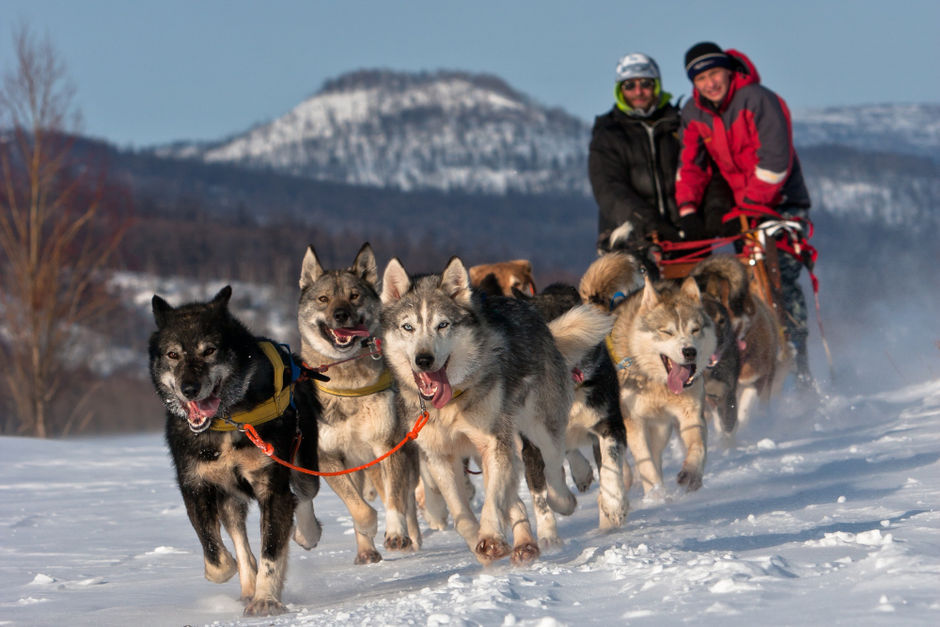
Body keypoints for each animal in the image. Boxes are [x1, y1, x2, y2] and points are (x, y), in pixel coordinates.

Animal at [149, 288, 322, 620]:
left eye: (209, 350)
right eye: (173, 355)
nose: (189, 388)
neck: (225, 422)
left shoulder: (272, 487)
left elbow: (271, 550)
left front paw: (266, 599)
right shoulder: (195, 486)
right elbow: (214, 552)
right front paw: (232, 573)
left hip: (301, 458)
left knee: (304, 493)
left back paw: (307, 533)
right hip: (230, 499)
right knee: (239, 538)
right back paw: (247, 583)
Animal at [378, 255, 612, 564]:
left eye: (443, 325)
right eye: (408, 327)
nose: (424, 359)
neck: (451, 402)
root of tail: (534, 315)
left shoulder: (492, 443)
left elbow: (493, 501)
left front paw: (490, 537)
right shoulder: (440, 457)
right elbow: (462, 514)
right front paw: (481, 545)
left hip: (538, 426)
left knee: (552, 466)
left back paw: (562, 502)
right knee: (516, 497)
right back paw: (524, 543)